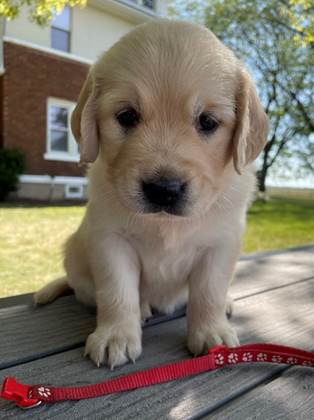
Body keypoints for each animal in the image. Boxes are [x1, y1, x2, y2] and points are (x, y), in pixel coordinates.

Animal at [34, 19, 268, 368]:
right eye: (127, 116)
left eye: (208, 122)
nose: (163, 190)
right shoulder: (110, 240)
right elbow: (118, 291)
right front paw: (116, 335)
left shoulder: (221, 244)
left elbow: (209, 292)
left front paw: (211, 331)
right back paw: (142, 308)